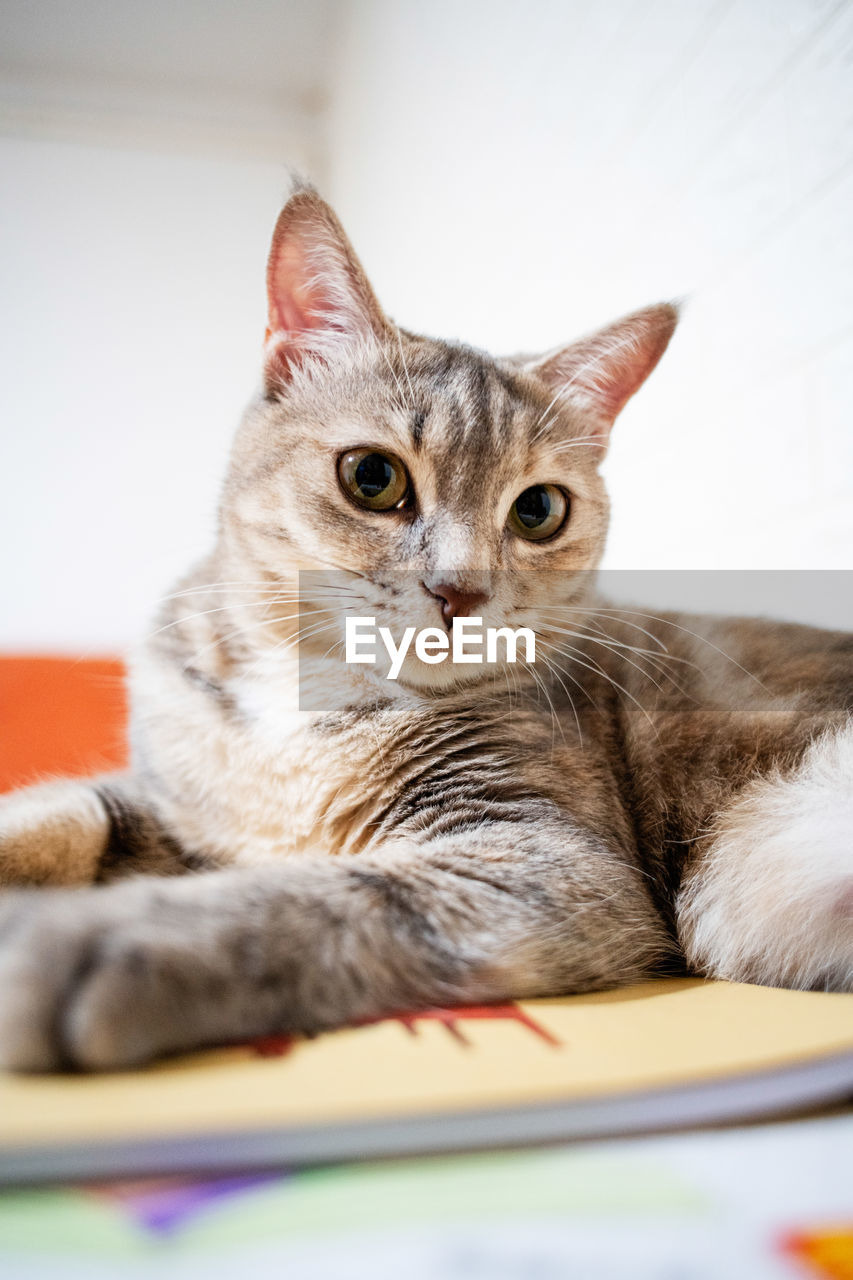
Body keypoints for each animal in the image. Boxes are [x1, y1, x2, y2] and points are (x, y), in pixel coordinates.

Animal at [1, 186, 850, 1070]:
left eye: (538, 510)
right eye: (372, 477)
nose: (459, 589)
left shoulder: (545, 857)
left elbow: (325, 900)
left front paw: (79, 939)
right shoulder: (179, 808)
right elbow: (67, 812)